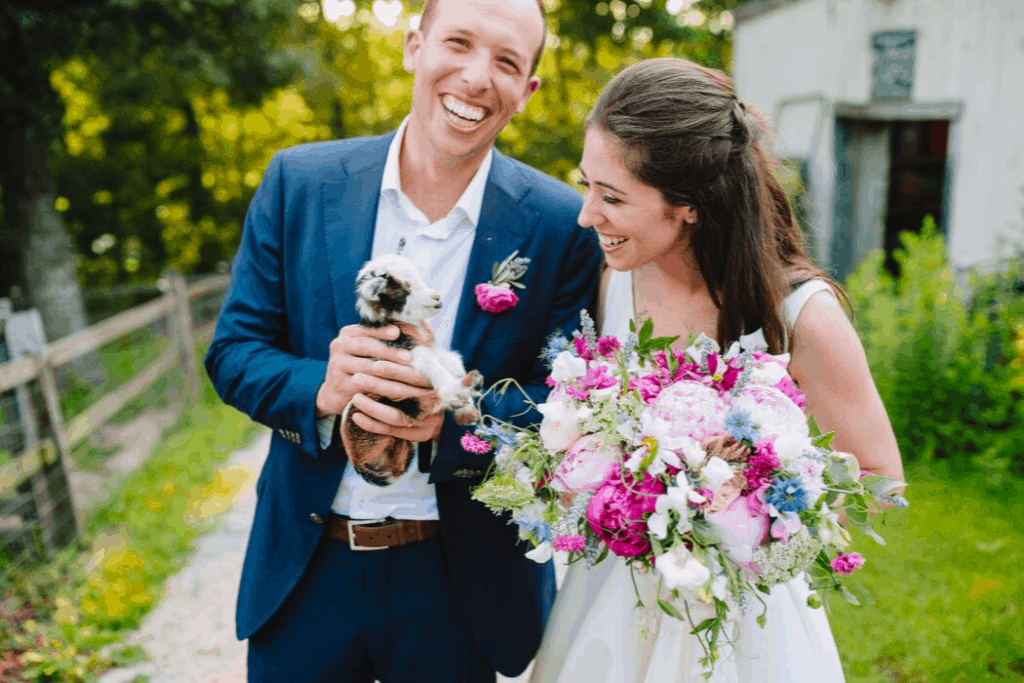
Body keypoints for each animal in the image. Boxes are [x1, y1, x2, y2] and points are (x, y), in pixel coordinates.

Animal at [342, 254, 481, 485]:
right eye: (401, 291)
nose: (436, 297)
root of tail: (358, 461)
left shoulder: (433, 350)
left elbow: (452, 362)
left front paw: (468, 408)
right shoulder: (405, 350)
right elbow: (429, 362)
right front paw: (465, 406)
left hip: (398, 442)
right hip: (372, 411)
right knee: (416, 407)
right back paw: (461, 390)